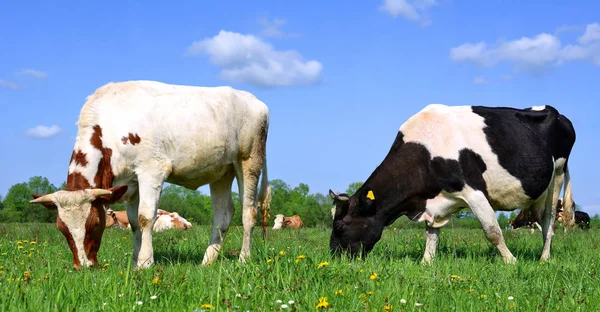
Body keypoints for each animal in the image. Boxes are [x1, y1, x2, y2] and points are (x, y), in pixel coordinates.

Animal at [28, 80, 272, 270]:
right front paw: (136, 261)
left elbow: (146, 217)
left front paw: (145, 262)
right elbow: (135, 222)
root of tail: (256, 101)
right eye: (61, 228)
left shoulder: (151, 171)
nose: (83, 266)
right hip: (221, 172)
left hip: (249, 161)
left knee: (248, 212)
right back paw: (207, 261)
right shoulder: (130, 183)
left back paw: (243, 259)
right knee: (224, 214)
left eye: (95, 224)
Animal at [328, 103, 576, 264]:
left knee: (549, 221)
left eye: (339, 226)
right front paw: (426, 263)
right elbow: (431, 235)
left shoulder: (473, 191)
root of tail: (556, 113)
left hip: (557, 176)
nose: (333, 257)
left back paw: (544, 258)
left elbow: (492, 231)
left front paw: (511, 262)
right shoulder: (434, 200)